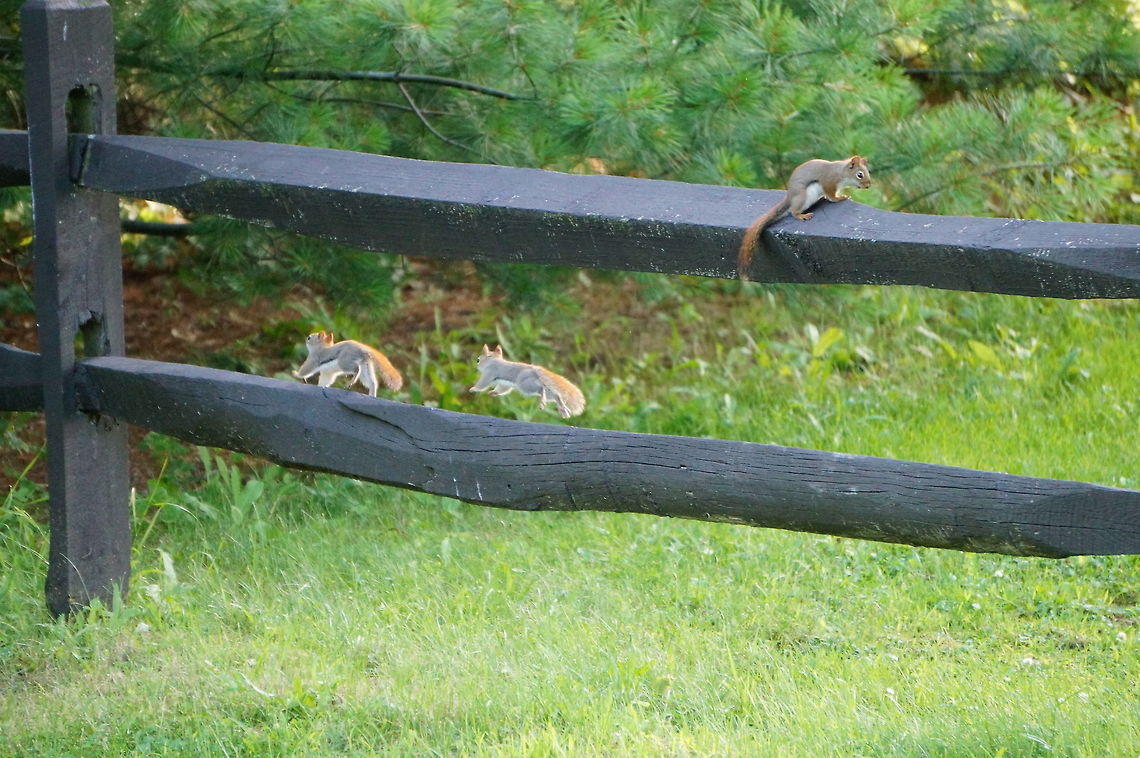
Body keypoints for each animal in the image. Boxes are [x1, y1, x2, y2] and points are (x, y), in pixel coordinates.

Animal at [737, 156, 871, 281]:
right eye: (860, 174)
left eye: (867, 172)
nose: (868, 185)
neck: (841, 171)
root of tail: (790, 197)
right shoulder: (828, 181)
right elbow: (831, 196)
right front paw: (841, 198)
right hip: (803, 197)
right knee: (793, 211)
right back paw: (802, 215)